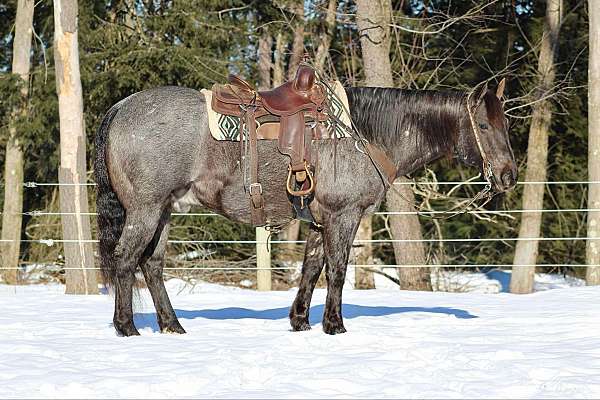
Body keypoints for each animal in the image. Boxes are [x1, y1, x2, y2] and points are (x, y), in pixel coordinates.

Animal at [94, 79, 516, 336]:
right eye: (483, 124)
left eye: (506, 123)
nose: (508, 175)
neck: (362, 135)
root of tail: (120, 108)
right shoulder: (344, 216)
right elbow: (338, 270)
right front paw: (335, 324)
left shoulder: (318, 221)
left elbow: (311, 269)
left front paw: (300, 321)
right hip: (146, 209)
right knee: (126, 258)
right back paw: (126, 327)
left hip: (165, 209)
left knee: (152, 264)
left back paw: (172, 326)